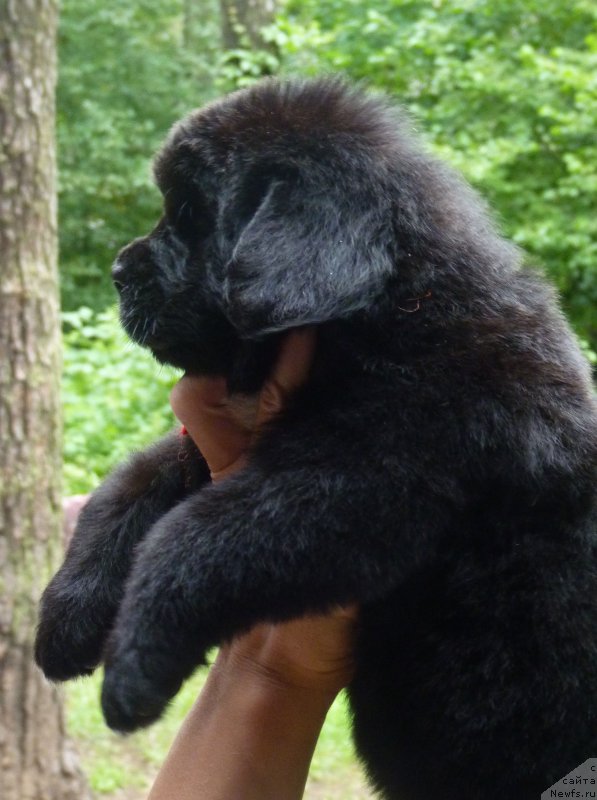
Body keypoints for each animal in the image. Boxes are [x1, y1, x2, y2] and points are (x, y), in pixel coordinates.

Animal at [36, 76, 596, 800]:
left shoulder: (365, 478)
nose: (117, 271)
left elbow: (195, 535)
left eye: (190, 213)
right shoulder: (209, 444)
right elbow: (125, 489)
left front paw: (134, 667)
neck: (389, 310)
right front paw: (63, 623)